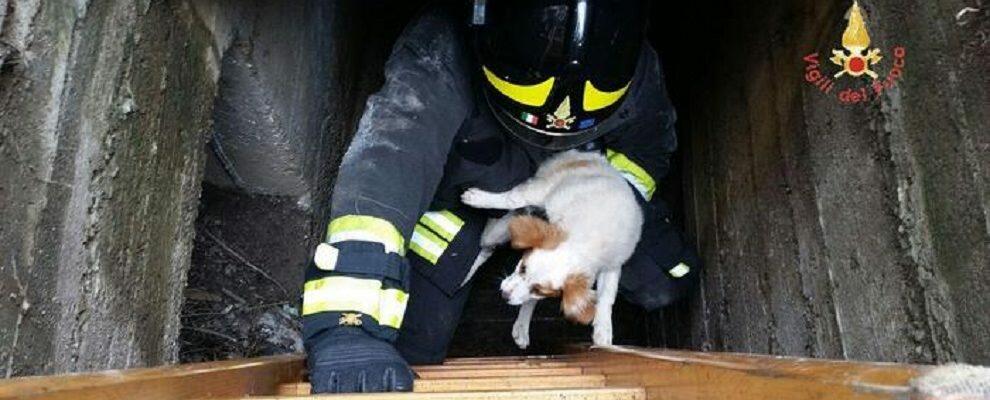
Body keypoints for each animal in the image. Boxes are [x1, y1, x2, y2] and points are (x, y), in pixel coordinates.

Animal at [464, 149, 644, 346]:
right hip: (541, 191)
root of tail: (590, 157)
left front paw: (603, 329)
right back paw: (480, 200)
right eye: (522, 267)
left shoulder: (613, 264)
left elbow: (607, 296)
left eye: (539, 290)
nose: (504, 294)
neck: (583, 244)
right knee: (512, 202)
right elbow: (512, 199)